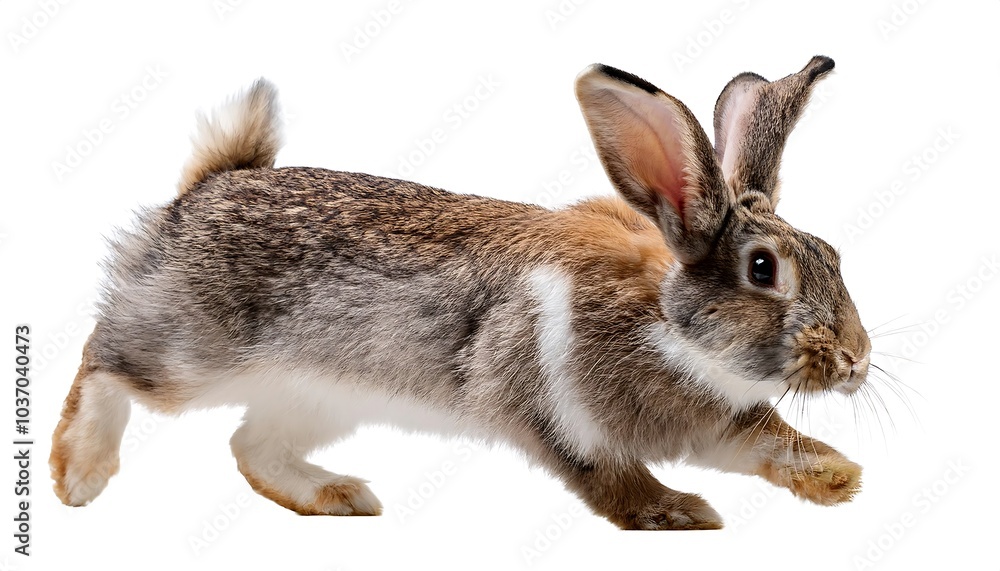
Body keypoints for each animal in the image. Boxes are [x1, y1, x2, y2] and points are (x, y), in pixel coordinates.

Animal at [51, 55, 870, 530]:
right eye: (762, 269)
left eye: (833, 254)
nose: (857, 360)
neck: (670, 324)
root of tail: (204, 190)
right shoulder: (560, 415)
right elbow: (607, 479)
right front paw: (681, 513)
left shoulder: (720, 425)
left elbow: (769, 444)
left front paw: (838, 477)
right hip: (187, 352)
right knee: (103, 359)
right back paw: (76, 476)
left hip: (316, 399)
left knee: (251, 447)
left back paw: (340, 497)